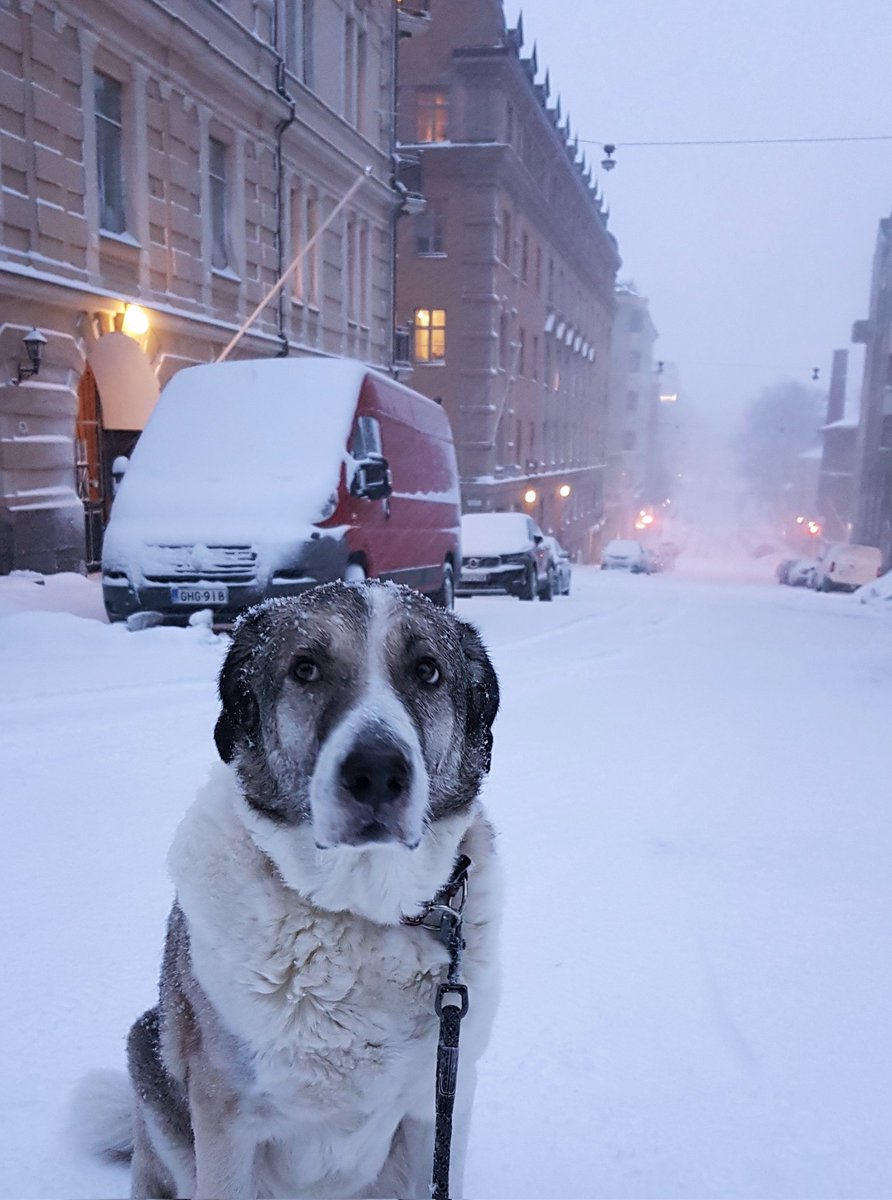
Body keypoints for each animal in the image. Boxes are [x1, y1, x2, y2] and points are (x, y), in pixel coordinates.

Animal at [75, 576, 501, 1195]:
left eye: (427, 671)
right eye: (305, 669)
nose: (377, 772)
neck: (354, 913)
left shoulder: (438, 1106)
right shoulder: (225, 1121)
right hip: (147, 1053)